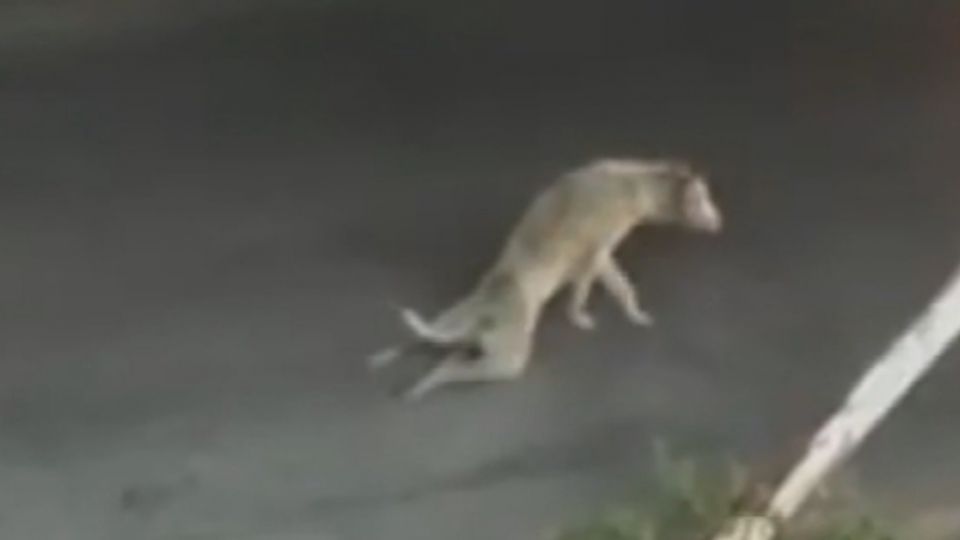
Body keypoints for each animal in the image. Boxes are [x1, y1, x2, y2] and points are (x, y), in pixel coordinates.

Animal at [368, 157, 723, 401]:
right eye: (703, 199)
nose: (720, 221)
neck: (635, 182)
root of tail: (482, 313)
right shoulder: (596, 254)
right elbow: (590, 288)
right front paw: (583, 316)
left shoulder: (600, 257)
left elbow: (617, 285)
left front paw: (631, 312)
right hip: (507, 360)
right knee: (447, 367)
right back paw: (419, 384)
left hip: (460, 329)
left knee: (429, 346)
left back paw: (391, 359)